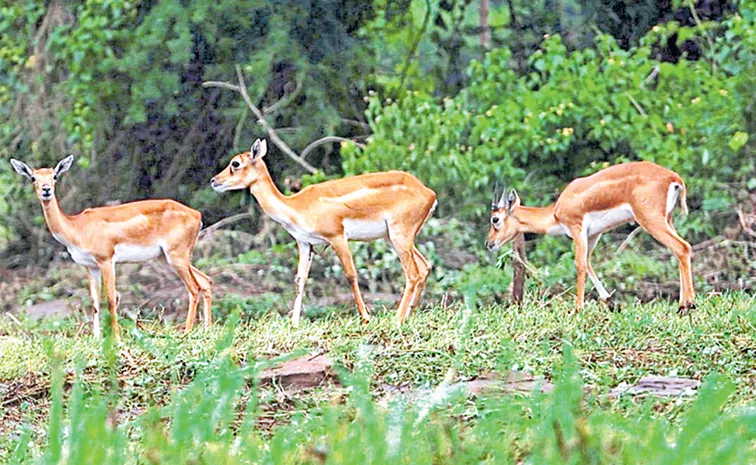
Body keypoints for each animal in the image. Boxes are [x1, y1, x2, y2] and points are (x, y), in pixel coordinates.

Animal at [10, 156, 213, 338]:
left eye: (55, 176)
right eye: (33, 177)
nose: (46, 190)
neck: (77, 228)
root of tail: (197, 215)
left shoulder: (106, 260)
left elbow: (110, 299)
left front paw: (115, 338)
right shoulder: (90, 266)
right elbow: (94, 302)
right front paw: (96, 338)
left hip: (177, 256)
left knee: (194, 288)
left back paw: (187, 332)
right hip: (169, 258)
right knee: (206, 281)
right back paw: (206, 329)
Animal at [211, 138, 438, 326]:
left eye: (235, 163)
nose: (214, 180)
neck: (296, 206)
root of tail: (430, 194)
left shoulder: (337, 236)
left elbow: (350, 275)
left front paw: (365, 317)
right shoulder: (305, 243)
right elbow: (300, 280)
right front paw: (294, 323)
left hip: (400, 234)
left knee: (413, 273)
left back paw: (397, 319)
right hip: (393, 237)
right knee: (425, 267)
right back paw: (409, 315)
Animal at [488, 161, 692, 314]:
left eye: (495, 219)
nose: (489, 243)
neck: (555, 212)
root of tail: (673, 178)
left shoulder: (577, 228)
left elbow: (579, 265)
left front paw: (578, 309)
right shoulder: (594, 234)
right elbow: (588, 263)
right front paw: (610, 302)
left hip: (650, 220)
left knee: (682, 247)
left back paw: (687, 305)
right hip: (667, 219)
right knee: (680, 251)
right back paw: (682, 305)